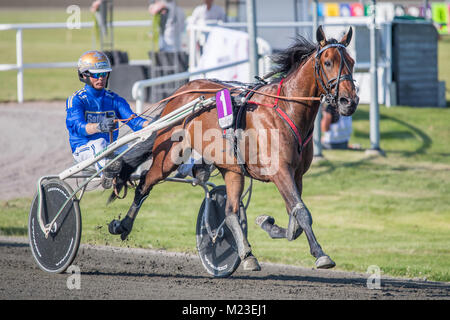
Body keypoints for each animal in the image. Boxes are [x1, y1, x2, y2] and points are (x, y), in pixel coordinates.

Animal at [108, 26, 358, 272]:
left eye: (352, 61)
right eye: (328, 62)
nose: (349, 101)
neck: (286, 109)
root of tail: (182, 90)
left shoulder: (296, 174)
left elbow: (294, 219)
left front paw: (268, 223)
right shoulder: (280, 171)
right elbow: (302, 212)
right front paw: (320, 254)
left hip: (232, 170)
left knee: (230, 212)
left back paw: (247, 254)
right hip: (169, 155)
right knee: (144, 184)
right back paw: (122, 225)